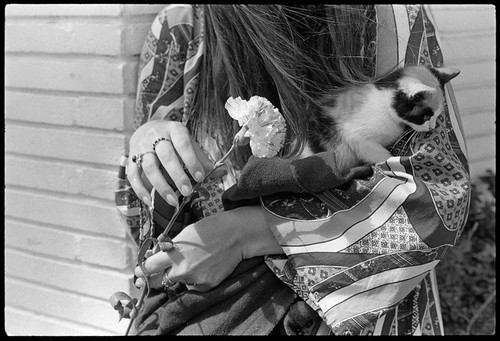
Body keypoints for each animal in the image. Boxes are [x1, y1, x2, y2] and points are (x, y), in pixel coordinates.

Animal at [302, 65, 458, 173]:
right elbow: (382, 155)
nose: (432, 127)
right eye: (426, 116)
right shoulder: (355, 136)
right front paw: (393, 165)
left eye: (437, 115)